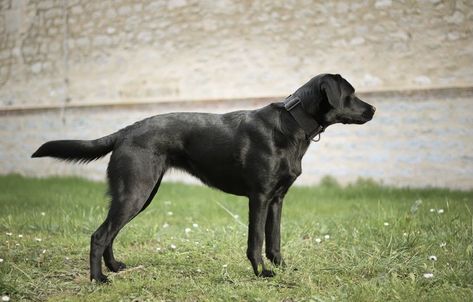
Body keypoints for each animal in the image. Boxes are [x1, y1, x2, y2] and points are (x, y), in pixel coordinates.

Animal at [31, 74, 374, 282]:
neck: (291, 125)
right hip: (136, 191)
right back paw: (99, 279)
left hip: (140, 194)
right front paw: (261, 273)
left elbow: (274, 242)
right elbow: (256, 241)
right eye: (351, 93)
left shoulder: (277, 199)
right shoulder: (259, 197)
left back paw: (114, 268)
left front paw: (283, 269)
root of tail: (125, 131)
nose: (373, 109)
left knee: (110, 233)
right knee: (100, 235)